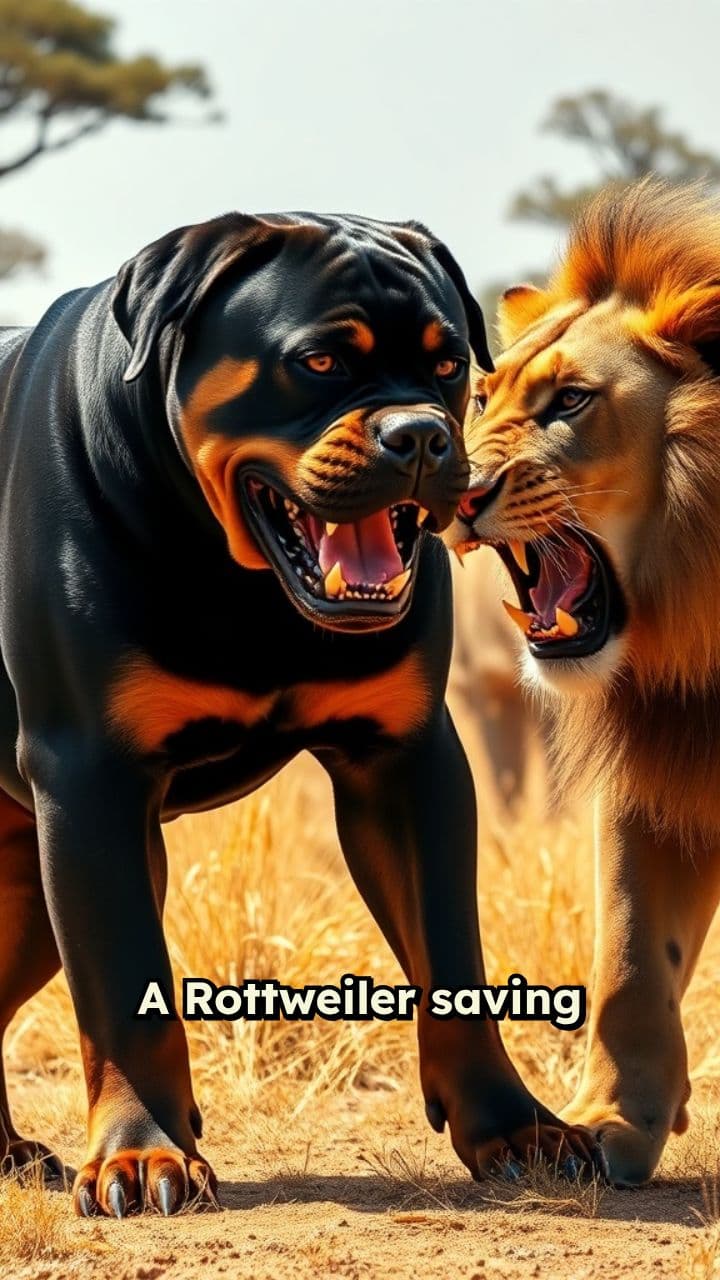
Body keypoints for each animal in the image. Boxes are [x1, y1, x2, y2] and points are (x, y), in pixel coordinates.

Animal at [445, 178, 720, 1184]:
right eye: (479, 396)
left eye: (570, 402)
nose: (448, 490)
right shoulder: (659, 765)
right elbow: (632, 956)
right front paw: (609, 1125)